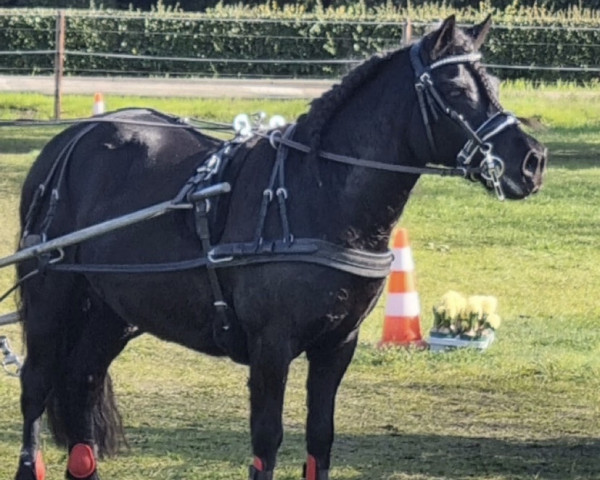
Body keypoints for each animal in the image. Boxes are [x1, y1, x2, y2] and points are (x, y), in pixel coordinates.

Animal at [16, 15, 548, 480]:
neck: (318, 191)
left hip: (113, 310)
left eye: (494, 84)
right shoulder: (270, 348)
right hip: (49, 298)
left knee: (81, 381)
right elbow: (267, 442)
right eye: (456, 91)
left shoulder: (337, 346)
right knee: (36, 386)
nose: (532, 161)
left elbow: (320, 439)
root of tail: (70, 139)